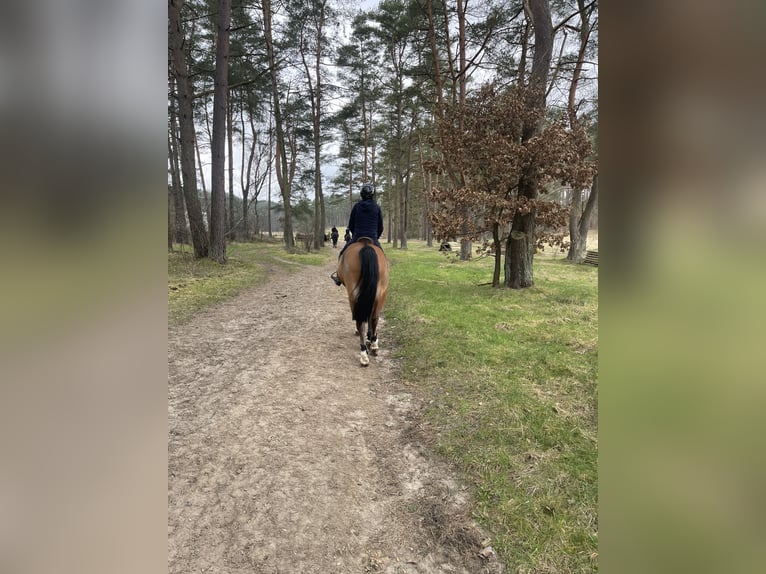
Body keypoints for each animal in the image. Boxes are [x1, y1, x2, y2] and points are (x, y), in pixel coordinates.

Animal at [336, 238, 389, 366]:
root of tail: (366, 245)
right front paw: (370, 339)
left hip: (353, 295)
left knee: (360, 320)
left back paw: (364, 351)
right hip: (380, 293)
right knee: (374, 318)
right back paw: (373, 346)